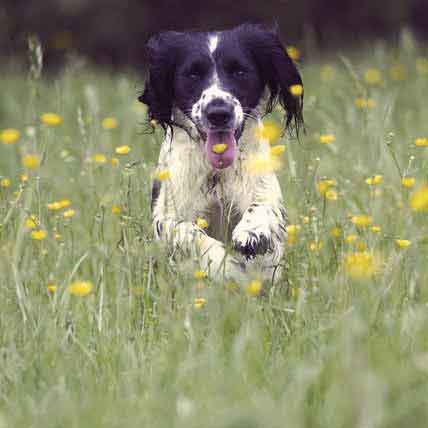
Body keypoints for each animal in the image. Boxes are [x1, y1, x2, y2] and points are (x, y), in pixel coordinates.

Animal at [139, 24, 302, 284]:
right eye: (193, 74)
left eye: (239, 71)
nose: (218, 112)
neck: (217, 172)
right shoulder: (166, 216)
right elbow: (189, 232)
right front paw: (226, 267)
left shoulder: (264, 190)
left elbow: (264, 208)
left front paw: (251, 233)